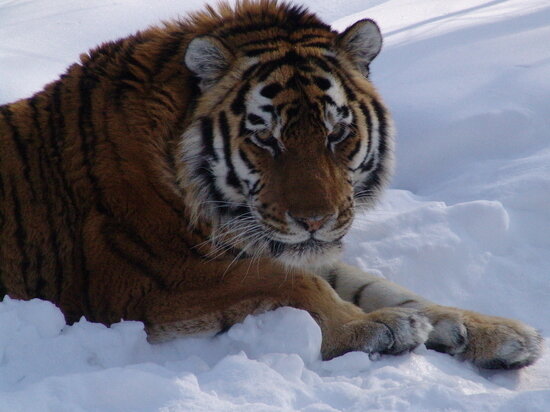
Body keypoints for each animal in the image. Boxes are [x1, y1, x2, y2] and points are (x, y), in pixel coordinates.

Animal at [0, 0, 544, 366]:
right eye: (267, 138)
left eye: (336, 133)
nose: (315, 220)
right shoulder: (149, 280)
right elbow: (296, 286)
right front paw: (376, 327)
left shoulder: (295, 249)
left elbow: (388, 288)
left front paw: (493, 330)